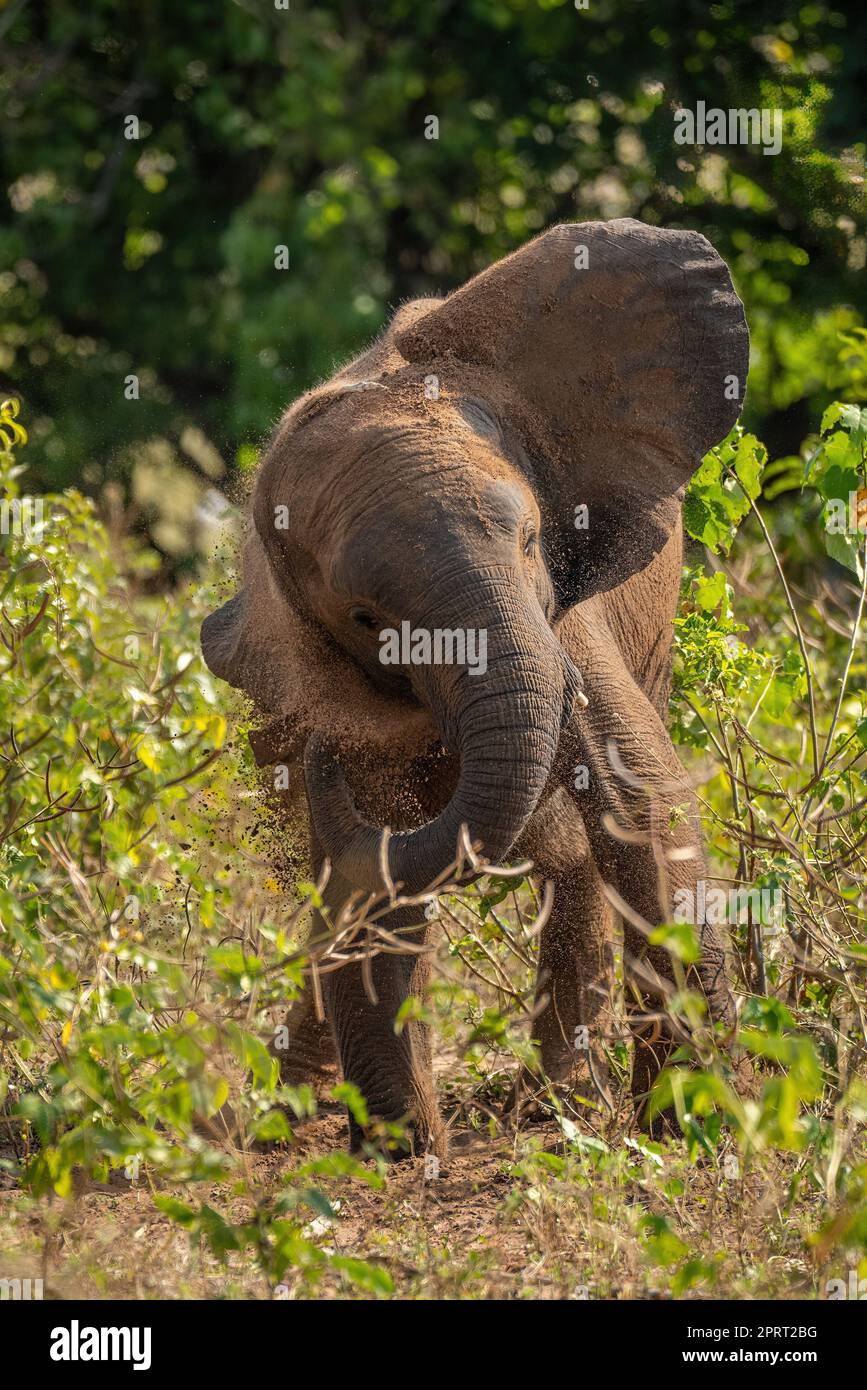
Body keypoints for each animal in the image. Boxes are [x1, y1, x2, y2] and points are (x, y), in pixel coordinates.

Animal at [201, 217, 750, 1160]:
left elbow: (639, 802)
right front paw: (405, 1149)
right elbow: (375, 860)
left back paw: (554, 1101)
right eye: (365, 617)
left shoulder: (564, 616)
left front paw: (682, 1135)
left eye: (530, 539)